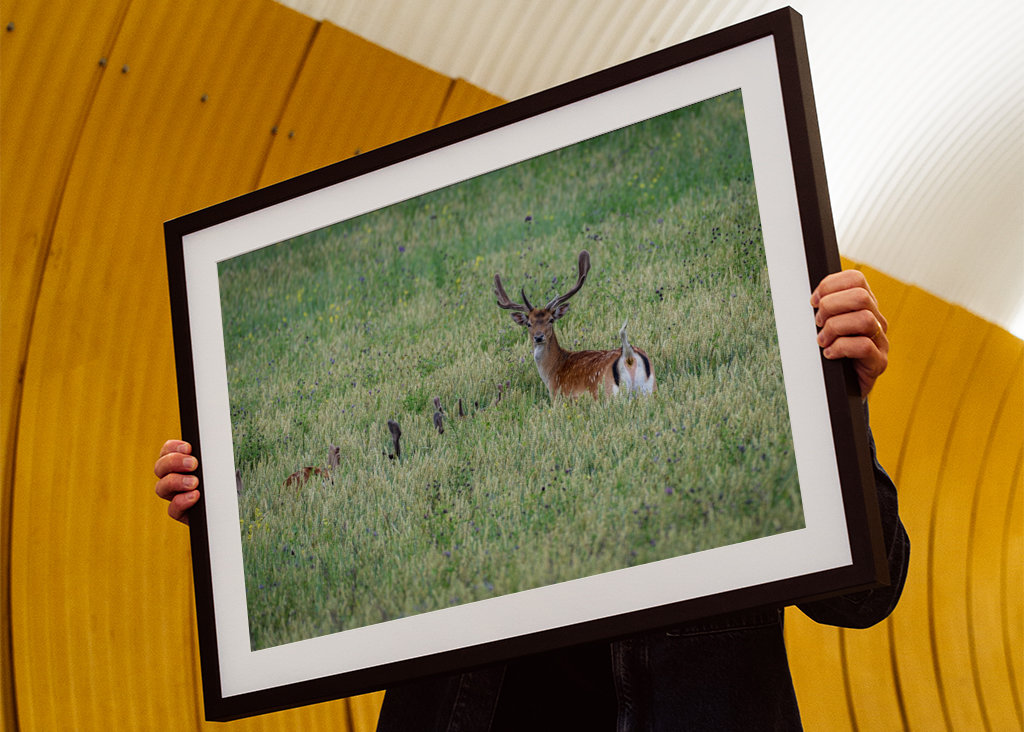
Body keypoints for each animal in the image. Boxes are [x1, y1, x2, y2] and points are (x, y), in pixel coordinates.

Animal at [494, 250, 655, 400]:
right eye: (528, 323)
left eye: (550, 320)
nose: (539, 337)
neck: (553, 371)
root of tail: (629, 356)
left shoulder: (559, 397)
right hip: (649, 390)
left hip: (609, 394)